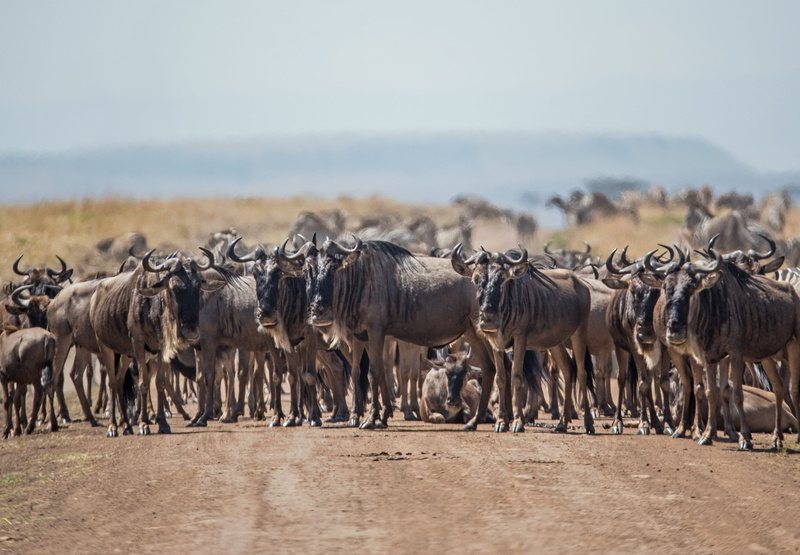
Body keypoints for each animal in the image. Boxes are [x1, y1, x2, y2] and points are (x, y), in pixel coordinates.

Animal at [451, 244, 594, 434]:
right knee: (568, 369)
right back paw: (562, 423)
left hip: (579, 334)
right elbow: (501, 377)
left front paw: (518, 422)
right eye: (476, 279)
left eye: (502, 279)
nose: (488, 320)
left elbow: (517, 376)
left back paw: (588, 423)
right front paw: (501, 422)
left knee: (582, 372)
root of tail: (581, 284)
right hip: (556, 343)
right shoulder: (496, 343)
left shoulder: (520, 339)